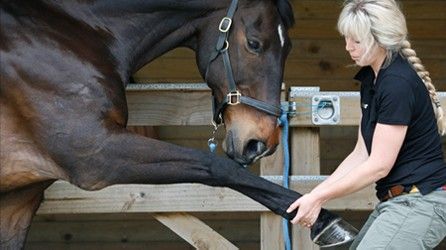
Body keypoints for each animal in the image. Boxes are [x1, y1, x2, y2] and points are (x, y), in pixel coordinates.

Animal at [0, 0, 356, 248]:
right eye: (254, 43)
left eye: (289, 48)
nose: (261, 143)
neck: (64, 31)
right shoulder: (96, 156)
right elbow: (218, 167)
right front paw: (325, 221)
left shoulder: (18, 201)